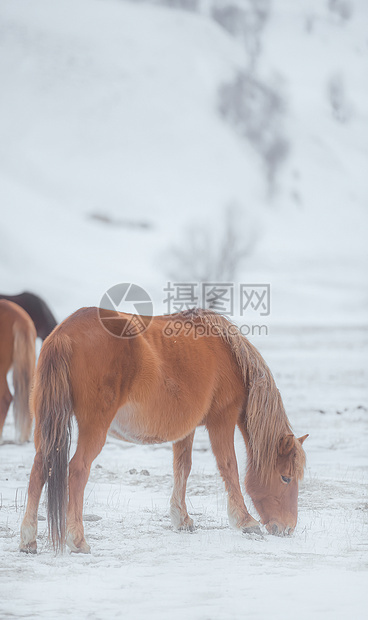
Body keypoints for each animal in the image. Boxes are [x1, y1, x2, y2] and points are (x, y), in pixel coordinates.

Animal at [19, 308, 308, 556]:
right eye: (285, 477)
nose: (287, 528)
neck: (228, 353)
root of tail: (63, 334)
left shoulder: (186, 430)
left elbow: (183, 468)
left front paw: (182, 519)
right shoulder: (222, 420)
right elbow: (229, 467)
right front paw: (245, 521)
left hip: (46, 428)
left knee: (39, 468)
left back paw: (28, 540)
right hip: (93, 428)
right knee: (78, 470)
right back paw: (77, 540)